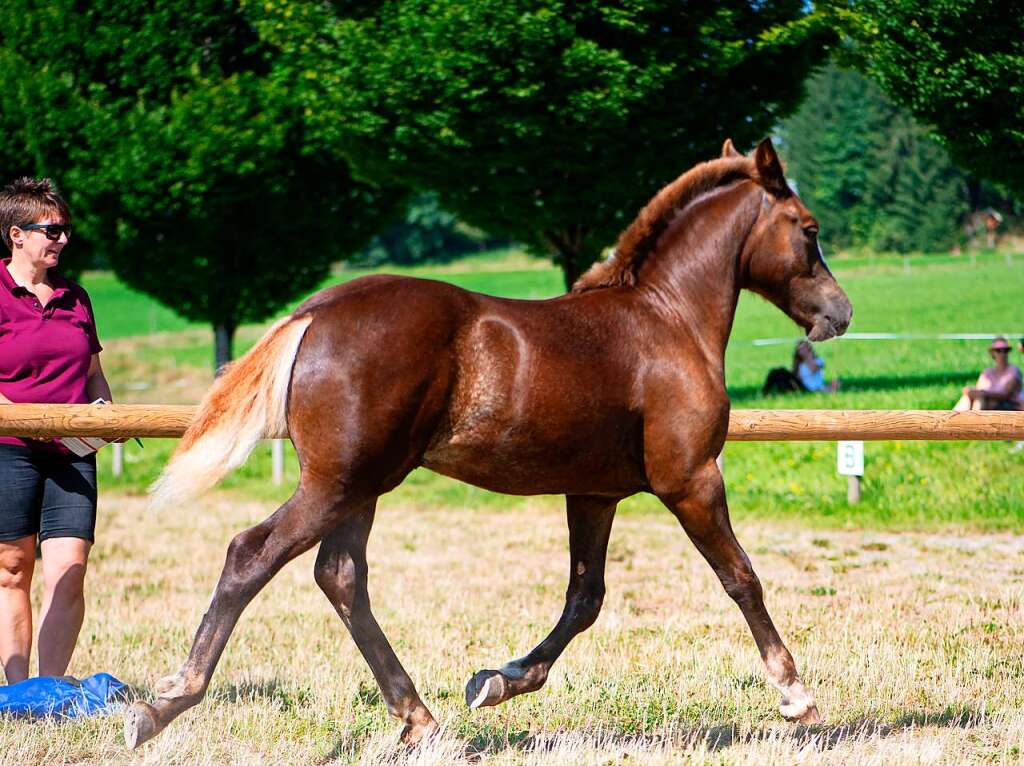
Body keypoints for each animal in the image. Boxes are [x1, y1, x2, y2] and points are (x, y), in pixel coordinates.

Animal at [125, 139, 847, 749]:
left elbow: (585, 599)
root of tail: (314, 313)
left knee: (340, 575)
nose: (839, 313)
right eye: (809, 229)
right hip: (339, 483)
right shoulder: (691, 478)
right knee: (253, 554)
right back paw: (162, 706)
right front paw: (797, 696)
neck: (667, 319)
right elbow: (741, 577)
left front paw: (494, 682)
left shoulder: (594, 493)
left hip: (359, 486)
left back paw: (420, 718)